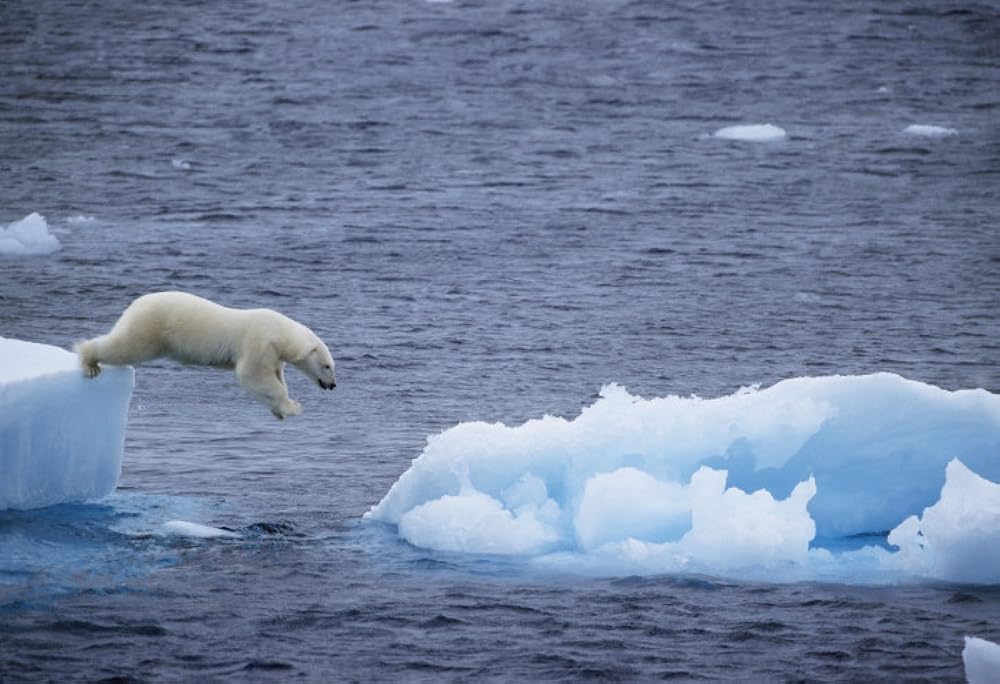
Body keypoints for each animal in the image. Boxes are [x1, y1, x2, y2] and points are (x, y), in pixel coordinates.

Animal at [78, 292, 336, 420]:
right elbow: (252, 375)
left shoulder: (273, 355)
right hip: (151, 327)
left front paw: (280, 410)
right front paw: (293, 407)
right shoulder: (258, 342)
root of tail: (136, 303)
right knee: (125, 346)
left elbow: (273, 378)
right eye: (326, 366)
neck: (281, 333)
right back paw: (89, 361)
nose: (333, 385)